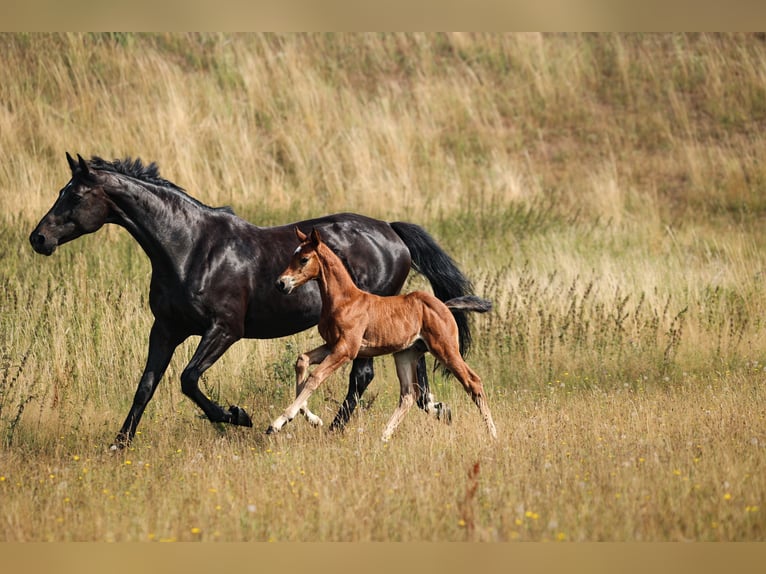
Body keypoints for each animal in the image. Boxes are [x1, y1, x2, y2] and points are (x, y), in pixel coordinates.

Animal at [271, 227, 497, 441]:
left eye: (304, 258)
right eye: (292, 255)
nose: (281, 283)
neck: (344, 300)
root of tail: (445, 306)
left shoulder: (346, 349)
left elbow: (315, 376)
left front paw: (277, 423)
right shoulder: (332, 345)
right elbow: (302, 360)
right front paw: (312, 418)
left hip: (445, 349)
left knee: (473, 382)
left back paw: (493, 434)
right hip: (406, 354)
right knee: (408, 394)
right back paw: (384, 437)